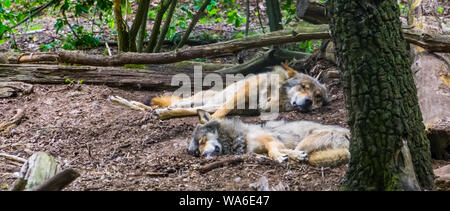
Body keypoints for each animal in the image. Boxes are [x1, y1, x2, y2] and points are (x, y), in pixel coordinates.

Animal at [188, 110, 350, 166]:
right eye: (197, 152)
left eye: (202, 140)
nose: (203, 154)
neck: (241, 136)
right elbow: (275, 151)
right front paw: (284, 155)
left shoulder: (271, 140)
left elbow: (273, 151)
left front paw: (282, 156)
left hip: (308, 140)